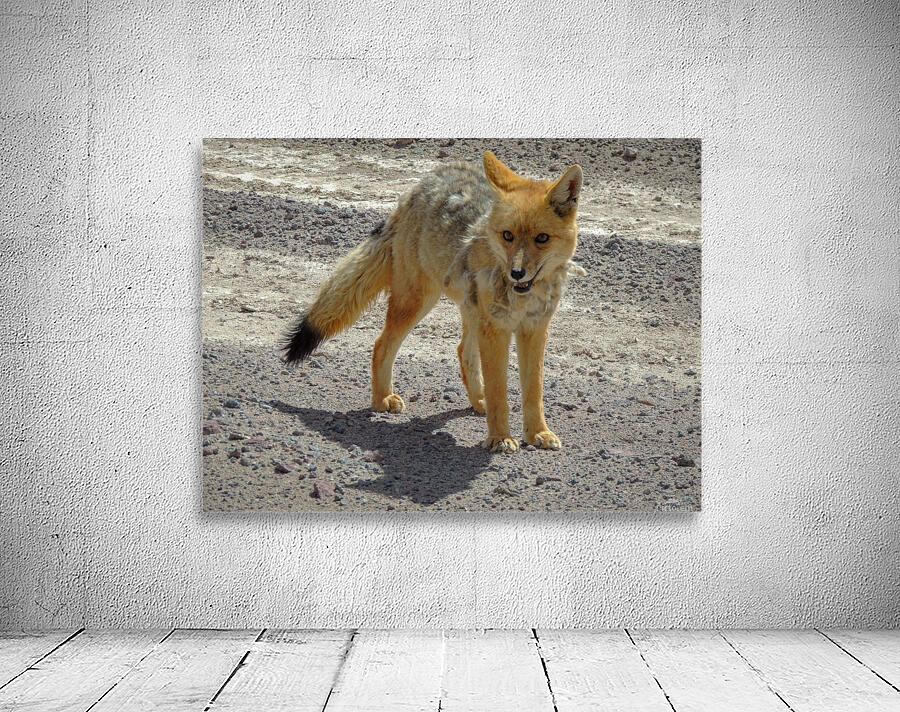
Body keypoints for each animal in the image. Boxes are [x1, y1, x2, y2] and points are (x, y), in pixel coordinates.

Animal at [283, 150, 584, 453]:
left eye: (541, 238)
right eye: (507, 235)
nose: (517, 273)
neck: (524, 298)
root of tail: (423, 184)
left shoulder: (534, 330)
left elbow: (534, 392)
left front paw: (538, 433)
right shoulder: (497, 330)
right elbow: (499, 391)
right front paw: (500, 437)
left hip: (469, 312)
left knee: (463, 351)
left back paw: (478, 401)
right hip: (419, 302)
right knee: (381, 344)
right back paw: (382, 399)